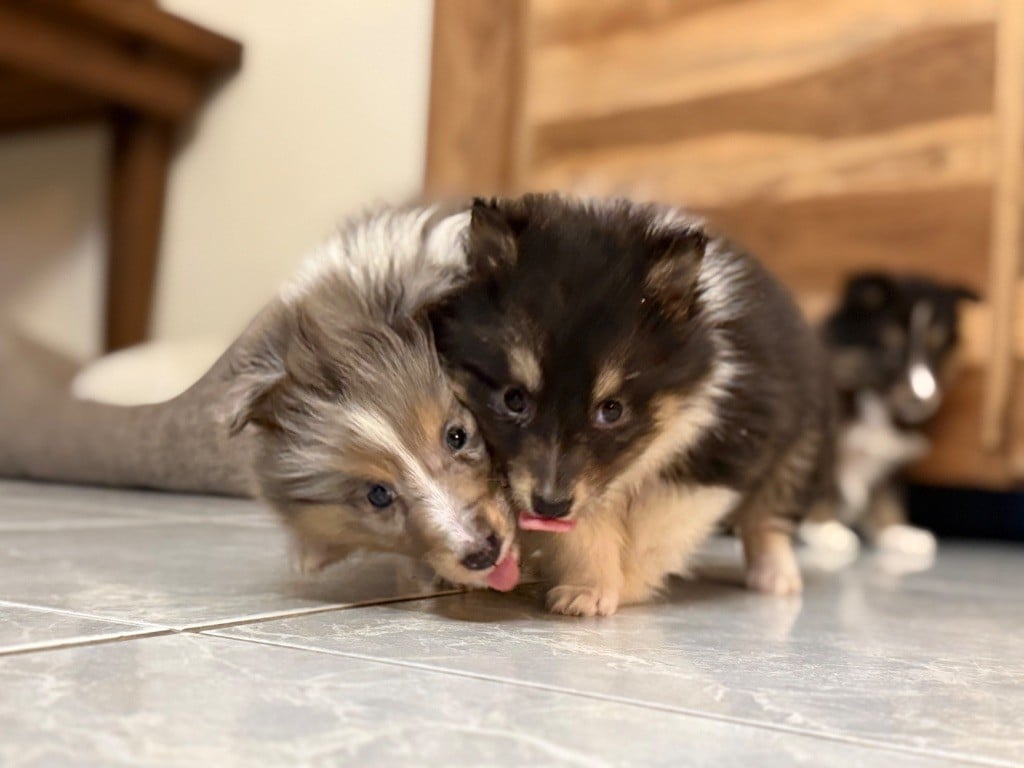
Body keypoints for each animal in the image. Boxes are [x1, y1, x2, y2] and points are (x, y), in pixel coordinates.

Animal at [428, 195, 835, 618]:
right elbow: (585, 527)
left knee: (769, 517)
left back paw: (776, 577)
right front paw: (588, 589)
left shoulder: (717, 456)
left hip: (803, 445)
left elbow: (655, 527)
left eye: (612, 410)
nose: (549, 506)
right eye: (513, 399)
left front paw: (626, 586)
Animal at [802, 274, 978, 557]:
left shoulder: (891, 462)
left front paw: (897, 532)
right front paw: (826, 529)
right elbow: (823, 488)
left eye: (936, 351)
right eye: (893, 351)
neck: (875, 405)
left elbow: (888, 497)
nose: (923, 399)